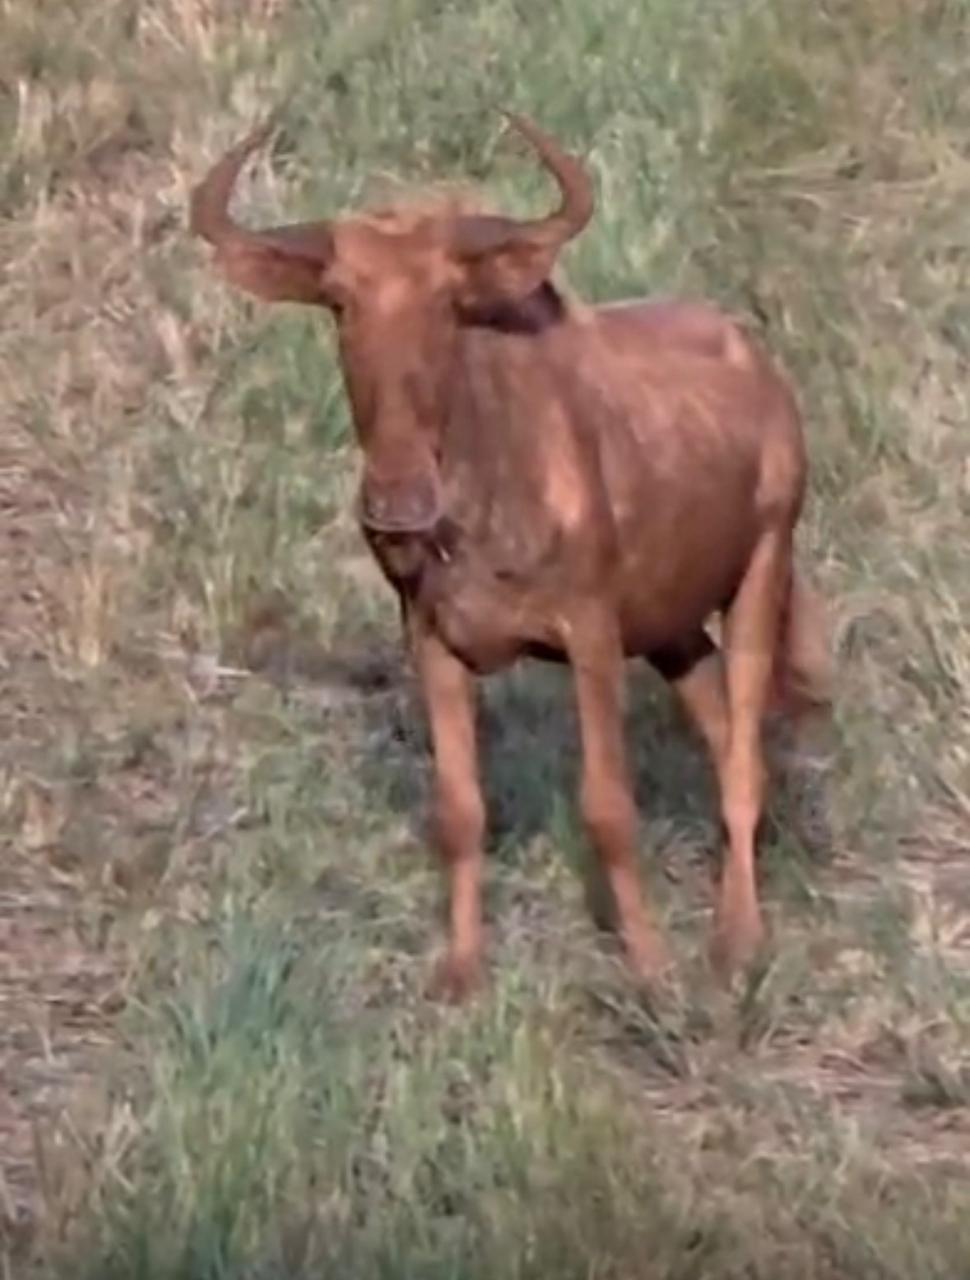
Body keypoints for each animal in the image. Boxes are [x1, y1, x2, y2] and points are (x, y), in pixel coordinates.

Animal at [190, 112, 832, 1000]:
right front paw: (461, 971)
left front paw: (650, 966)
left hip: (761, 572)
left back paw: (737, 939)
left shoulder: (590, 635)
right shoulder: (433, 641)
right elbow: (460, 812)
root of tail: (766, 379)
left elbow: (608, 807)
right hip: (671, 628)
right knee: (723, 726)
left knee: (743, 751)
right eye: (341, 298)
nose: (397, 502)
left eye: (447, 299)